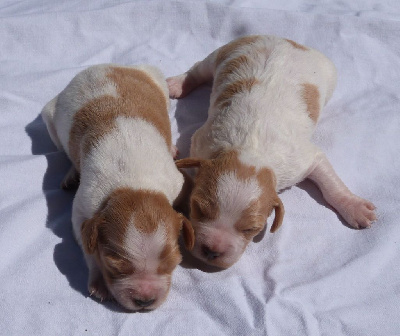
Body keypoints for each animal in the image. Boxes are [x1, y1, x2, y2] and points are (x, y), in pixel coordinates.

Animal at [41, 64, 195, 312]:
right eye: (115, 267)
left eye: (172, 264)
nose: (145, 301)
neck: (134, 184)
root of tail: (103, 66)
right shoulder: (84, 207)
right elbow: (87, 244)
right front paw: (99, 281)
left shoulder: (177, 182)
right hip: (50, 119)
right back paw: (71, 174)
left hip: (160, 85)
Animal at [167, 35, 376, 270]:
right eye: (198, 208)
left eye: (251, 229)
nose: (212, 251)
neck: (250, 151)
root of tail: (286, 40)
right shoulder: (201, 142)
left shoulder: (303, 160)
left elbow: (330, 184)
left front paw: (355, 207)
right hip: (225, 52)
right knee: (199, 69)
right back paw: (177, 84)